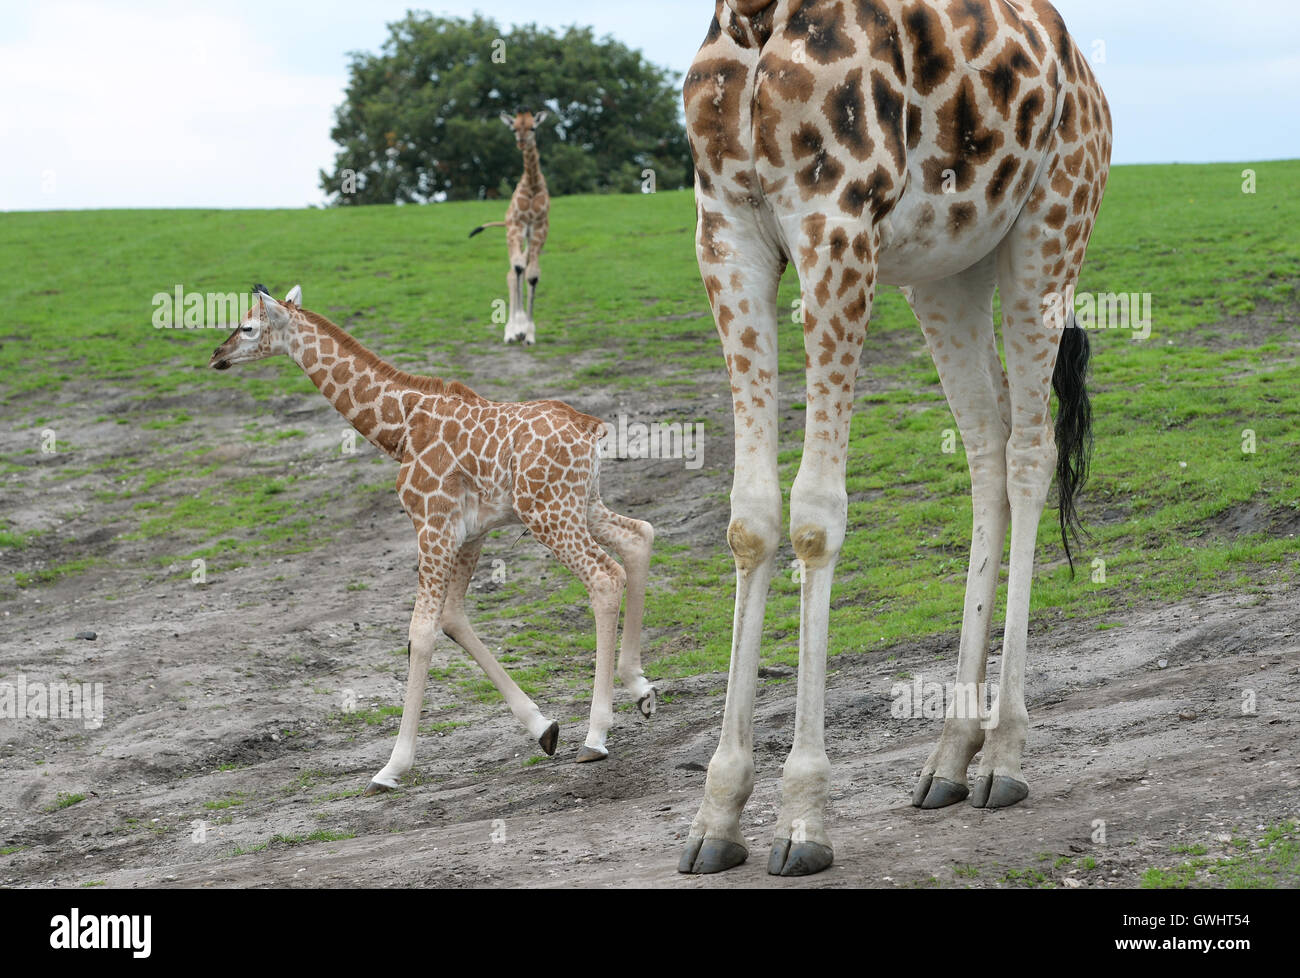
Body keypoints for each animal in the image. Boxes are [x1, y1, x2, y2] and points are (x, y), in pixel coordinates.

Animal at [214, 284, 660, 795]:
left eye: (247, 326)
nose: (217, 355)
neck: (400, 427)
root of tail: (590, 428)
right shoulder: (468, 533)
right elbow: (452, 618)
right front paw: (542, 727)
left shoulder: (431, 524)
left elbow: (421, 632)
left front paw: (391, 768)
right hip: (580, 503)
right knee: (638, 536)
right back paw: (641, 689)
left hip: (550, 513)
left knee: (605, 578)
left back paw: (597, 734)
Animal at [467, 105, 548, 343]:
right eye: (514, 128)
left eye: (533, 127)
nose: (521, 142)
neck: (532, 184)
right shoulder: (516, 228)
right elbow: (518, 269)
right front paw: (518, 328)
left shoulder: (539, 230)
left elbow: (532, 275)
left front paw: (529, 333)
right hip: (511, 234)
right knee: (512, 271)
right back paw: (511, 331)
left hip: (527, 238)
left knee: (519, 269)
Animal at [676, 0, 1112, 873]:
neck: (755, 18)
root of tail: (1084, 75)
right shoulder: (726, 230)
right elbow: (750, 519)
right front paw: (717, 815)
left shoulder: (835, 221)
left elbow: (815, 516)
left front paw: (802, 818)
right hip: (947, 272)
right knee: (985, 446)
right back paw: (949, 757)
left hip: (1049, 234)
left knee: (1029, 452)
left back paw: (1004, 757)